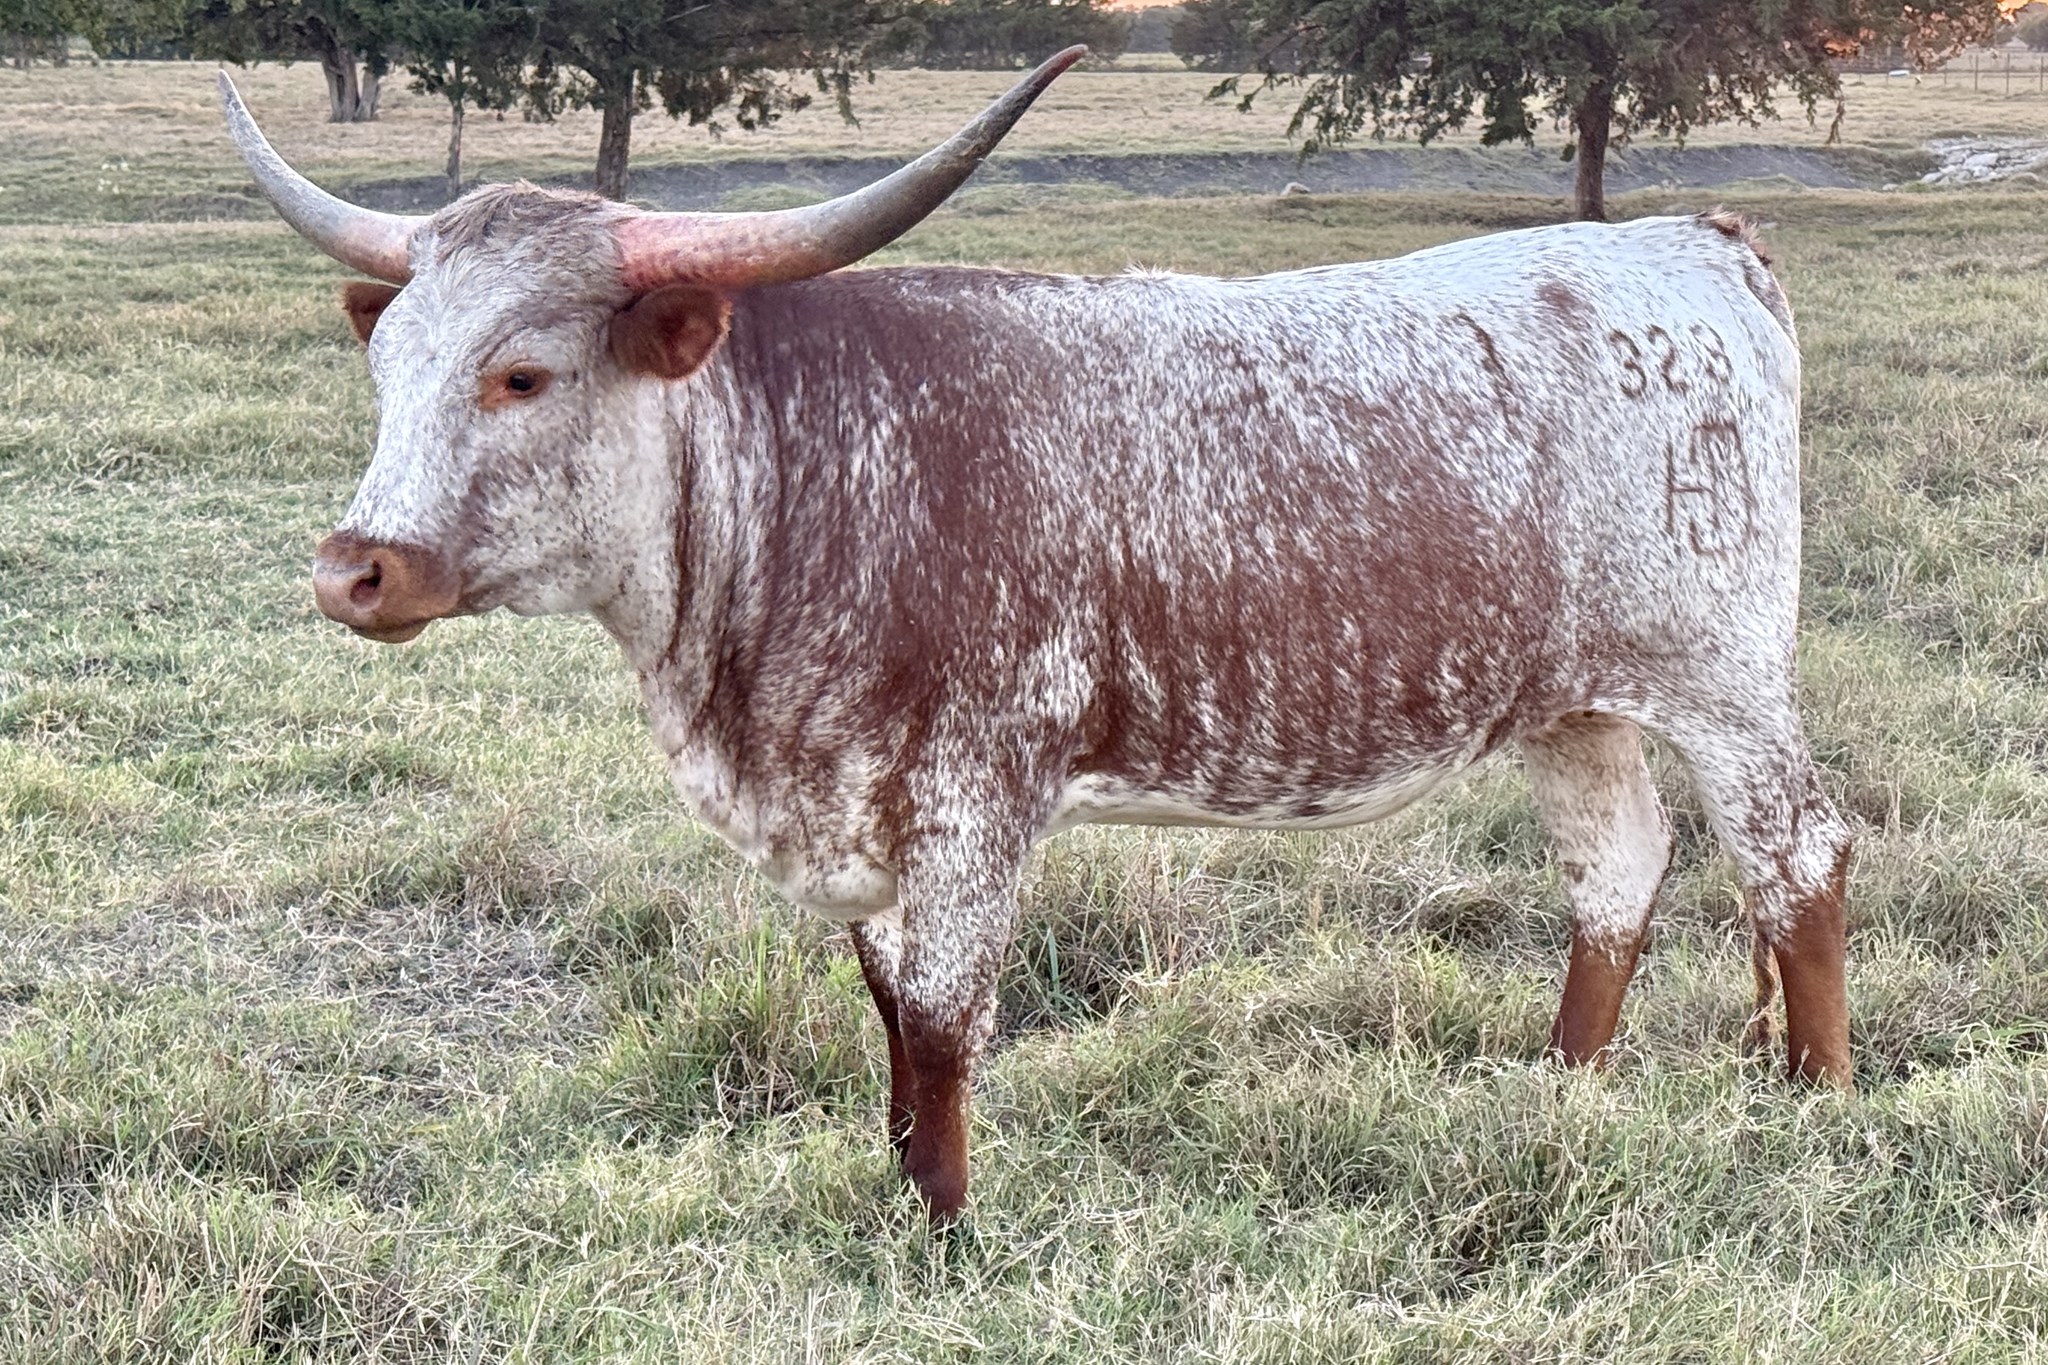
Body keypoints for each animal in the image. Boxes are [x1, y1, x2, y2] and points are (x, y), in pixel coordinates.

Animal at [219, 47, 1853, 1221]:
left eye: (523, 375)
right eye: (390, 364)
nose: (353, 571)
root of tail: (1696, 240)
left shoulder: (973, 797)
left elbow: (947, 1020)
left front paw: (945, 1229)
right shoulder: (866, 816)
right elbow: (888, 1012)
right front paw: (897, 1193)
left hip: (1727, 681)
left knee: (1797, 862)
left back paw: (1819, 1103)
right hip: (1569, 702)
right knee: (1617, 873)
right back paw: (1563, 1087)